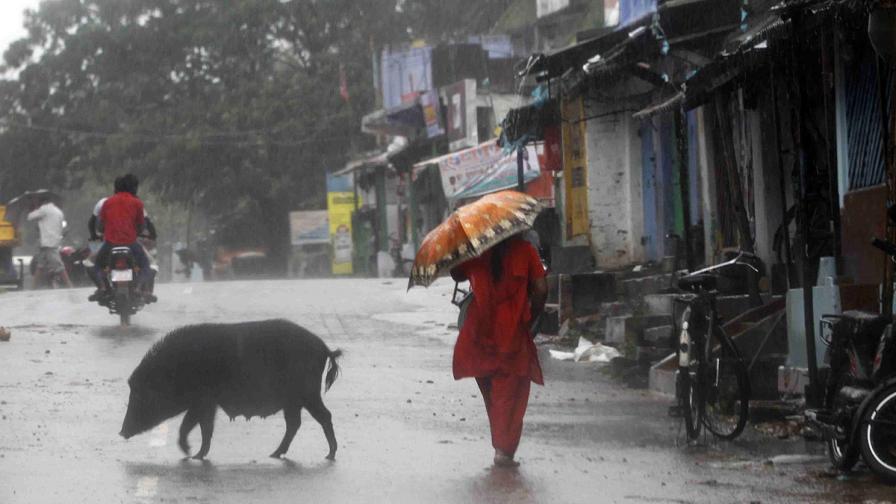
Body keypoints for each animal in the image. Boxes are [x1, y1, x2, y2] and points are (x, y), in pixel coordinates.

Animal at [121, 320, 342, 458]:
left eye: (139, 395)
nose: (121, 432)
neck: (176, 370)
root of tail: (324, 348)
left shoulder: (203, 400)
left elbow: (190, 425)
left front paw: (189, 454)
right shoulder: (208, 404)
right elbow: (205, 427)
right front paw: (197, 455)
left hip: (307, 393)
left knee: (324, 416)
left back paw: (329, 454)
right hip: (294, 401)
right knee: (295, 423)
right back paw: (274, 454)